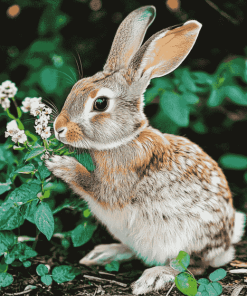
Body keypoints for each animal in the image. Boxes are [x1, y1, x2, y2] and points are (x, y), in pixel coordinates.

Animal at [45, 5, 246, 294]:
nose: (58, 128)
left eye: (100, 103)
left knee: (191, 267)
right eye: (76, 87)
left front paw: (59, 164)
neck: (123, 140)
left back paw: (152, 278)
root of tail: (227, 244)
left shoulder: (118, 183)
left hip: (184, 239)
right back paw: (104, 253)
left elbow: (94, 185)